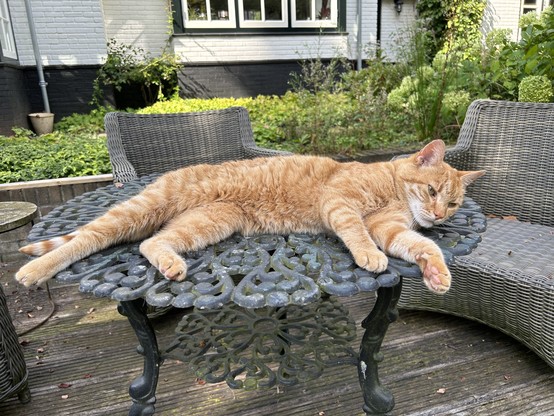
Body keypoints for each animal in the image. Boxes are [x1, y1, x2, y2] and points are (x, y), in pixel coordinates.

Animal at [15, 140, 480, 292]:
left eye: (454, 204)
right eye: (432, 191)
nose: (439, 214)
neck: (395, 191)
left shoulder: (390, 227)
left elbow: (419, 244)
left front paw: (436, 272)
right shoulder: (340, 203)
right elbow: (357, 233)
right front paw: (369, 256)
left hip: (210, 221)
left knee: (151, 242)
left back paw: (169, 264)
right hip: (141, 209)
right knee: (86, 238)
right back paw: (33, 270)